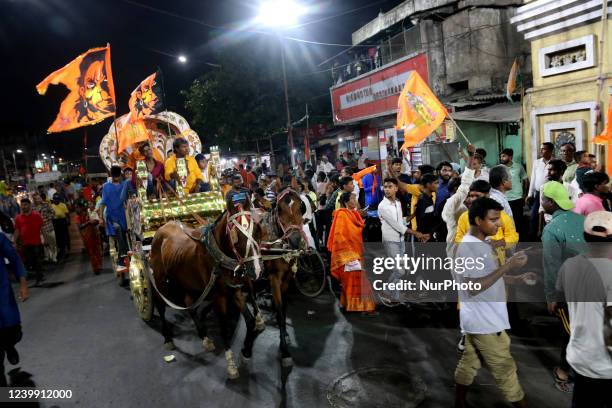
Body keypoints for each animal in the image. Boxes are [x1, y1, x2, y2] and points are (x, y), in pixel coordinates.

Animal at [149, 194, 264, 380]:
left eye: (257, 231)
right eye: (236, 236)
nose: (257, 269)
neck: (219, 257)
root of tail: (162, 227)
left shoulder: (235, 290)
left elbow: (250, 320)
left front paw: (246, 352)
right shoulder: (219, 297)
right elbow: (224, 329)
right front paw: (231, 364)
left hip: (185, 282)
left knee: (189, 306)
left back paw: (205, 338)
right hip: (161, 281)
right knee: (161, 305)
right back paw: (168, 338)